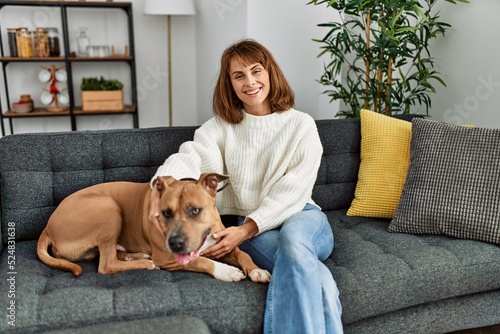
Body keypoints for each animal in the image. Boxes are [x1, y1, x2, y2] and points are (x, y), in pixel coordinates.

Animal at [37, 174, 272, 284]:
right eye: (165, 213)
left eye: (195, 210)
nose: (176, 243)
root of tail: (48, 226)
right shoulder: (169, 258)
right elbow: (201, 261)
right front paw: (226, 271)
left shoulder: (223, 243)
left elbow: (242, 254)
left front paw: (256, 270)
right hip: (108, 207)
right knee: (106, 264)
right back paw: (145, 263)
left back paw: (137, 256)